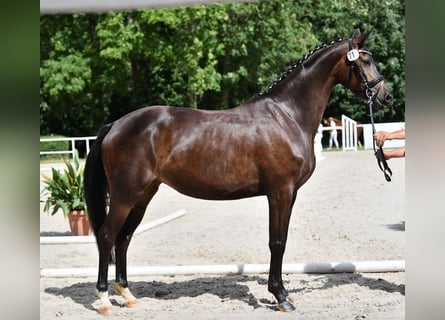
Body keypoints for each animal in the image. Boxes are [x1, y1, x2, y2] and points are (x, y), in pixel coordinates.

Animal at [84, 28, 392, 316]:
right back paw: (104, 300)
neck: (288, 115)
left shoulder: (290, 194)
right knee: (107, 236)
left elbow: (281, 240)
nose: (386, 97)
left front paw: (283, 294)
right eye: (365, 61)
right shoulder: (280, 192)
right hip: (125, 196)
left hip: (142, 195)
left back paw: (127, 295)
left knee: (123, 239)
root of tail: (115, 124)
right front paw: (280, 297)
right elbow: (277, 242)